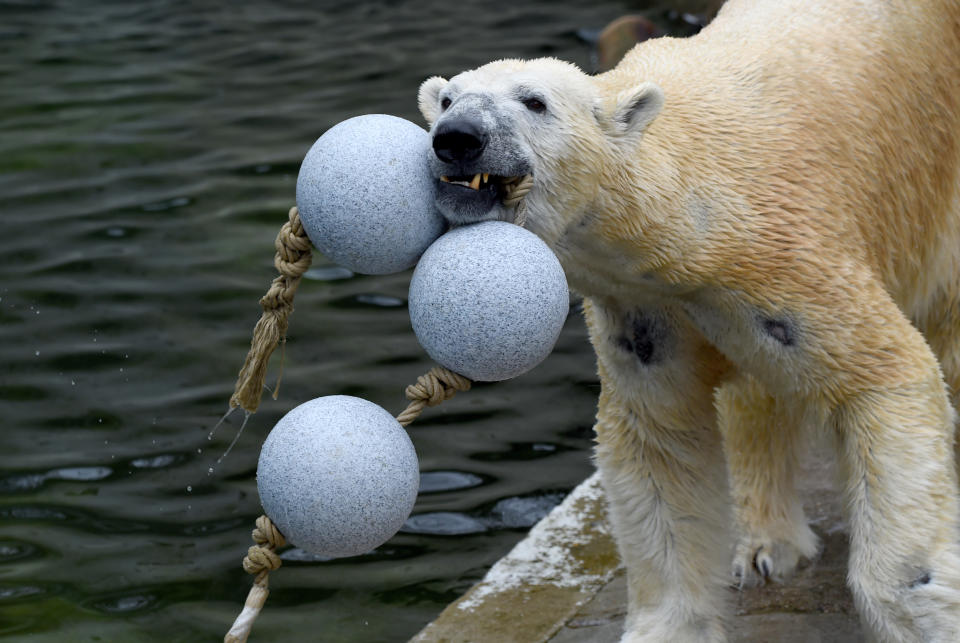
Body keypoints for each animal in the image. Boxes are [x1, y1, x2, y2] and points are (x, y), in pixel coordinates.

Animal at [416, 1, 960, 643]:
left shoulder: (788, 264)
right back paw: (764, 543)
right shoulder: (645, 315)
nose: (457, 139)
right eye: (448, 98)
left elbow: (887, 377)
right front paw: (669, 626)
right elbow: (660, 445)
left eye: (534, 101)